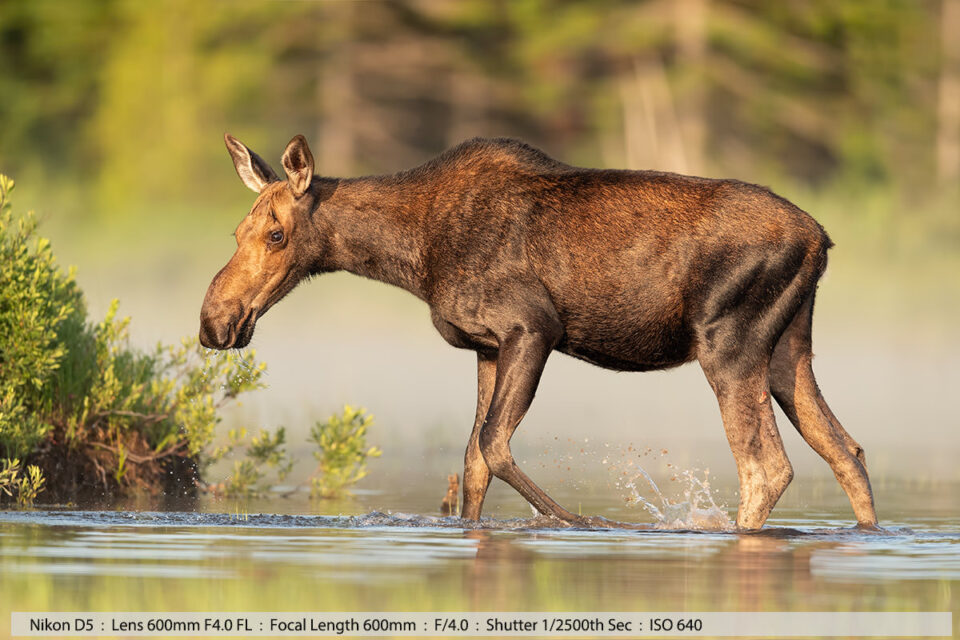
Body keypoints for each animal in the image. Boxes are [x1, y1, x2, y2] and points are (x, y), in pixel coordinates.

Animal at [201, 134, 876, 528]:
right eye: (235, 232)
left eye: (276, 233)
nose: (214, 322)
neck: (409, 257)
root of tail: (821, 239)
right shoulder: (485, 347)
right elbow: (473, 461)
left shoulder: (532, 327)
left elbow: (495, 445)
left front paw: (586, 525)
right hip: (788, 350)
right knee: (846, 450)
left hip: (728, 344)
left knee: (767, 466)